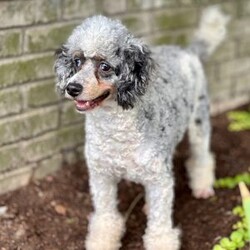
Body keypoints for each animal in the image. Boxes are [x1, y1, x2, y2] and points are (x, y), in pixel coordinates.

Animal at [54, 5, 229, 250]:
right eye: (77, 61)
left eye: (105, 66)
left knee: (202, 156)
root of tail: (187, 51)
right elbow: (105, 218)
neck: (116, 133)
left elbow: (160, 228)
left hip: (199, 121)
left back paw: (202, 187)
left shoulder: (159, 180)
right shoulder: (101, 176)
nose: (72, 87)